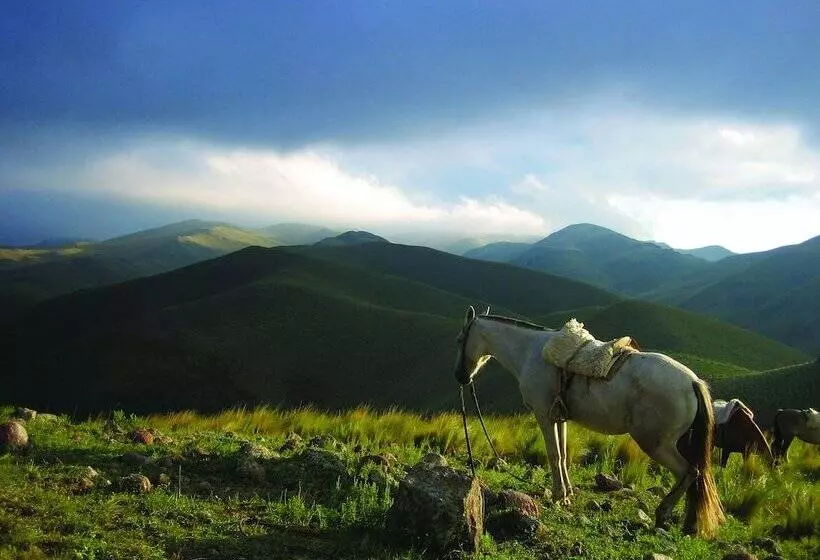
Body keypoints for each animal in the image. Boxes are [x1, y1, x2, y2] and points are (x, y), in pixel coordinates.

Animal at [453, 306, 724, 537]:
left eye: (459, 339)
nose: (460, 377)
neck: (530, 351)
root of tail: (692, 382)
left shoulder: (543, 415)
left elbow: (553, 455)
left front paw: (558, 496)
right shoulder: (558, 417)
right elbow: (563, 455)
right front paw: (567, 494)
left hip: (656, 444)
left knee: (689, 472)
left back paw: (664, 513)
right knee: (696, 476)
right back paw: (689, 523)